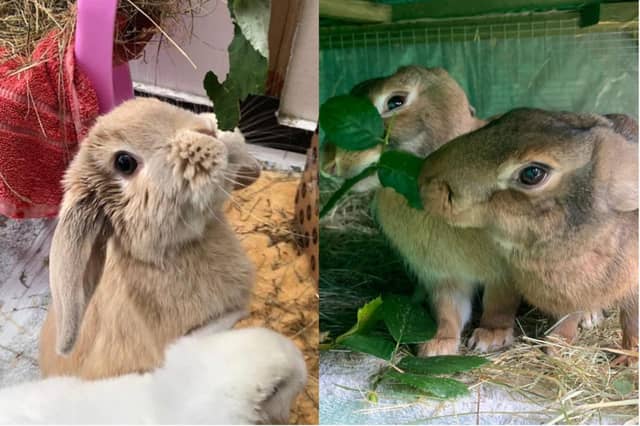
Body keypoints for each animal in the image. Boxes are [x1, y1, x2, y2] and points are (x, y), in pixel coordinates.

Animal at [323, 65, 523, 355]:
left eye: (396, 102)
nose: (330, 162)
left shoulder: (504, 273)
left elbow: (499, 304)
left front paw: (491, 337)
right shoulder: (443, 275)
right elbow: (448, 310)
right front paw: (437, 346)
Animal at [419, 108, 638, 358]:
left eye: (532, 173)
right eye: (513, 115)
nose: (425, 177)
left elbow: (633, 319)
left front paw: (629, 357)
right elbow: (569, 314)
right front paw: (557, 344)